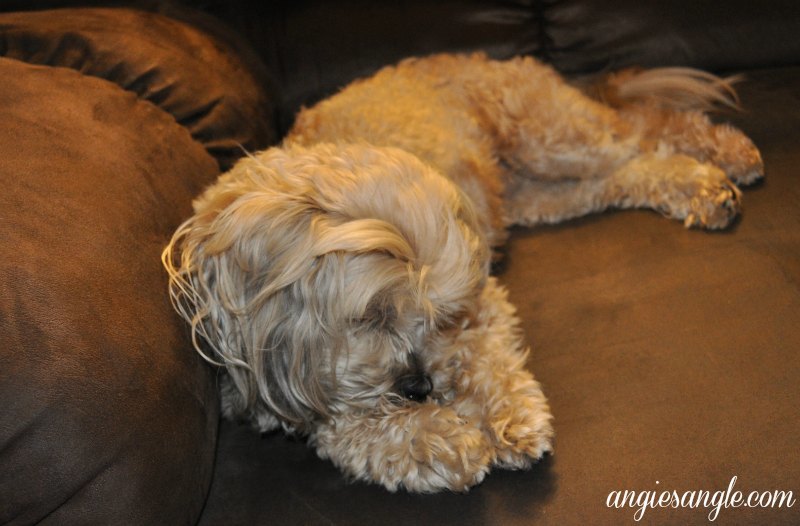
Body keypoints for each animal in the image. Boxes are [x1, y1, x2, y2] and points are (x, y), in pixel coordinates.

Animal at [162, 53, 764, 496]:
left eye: (433, 315)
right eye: (373, 316)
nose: (418, 388)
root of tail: (492, 57)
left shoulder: (477, 294)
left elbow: (486, 357)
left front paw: (512, 418)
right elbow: (345, 431)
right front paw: (436, 441)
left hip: (554, 139)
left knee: (650, 128)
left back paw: (727, 160)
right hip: (541, 192)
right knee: (630, 171)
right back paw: (703, 189)